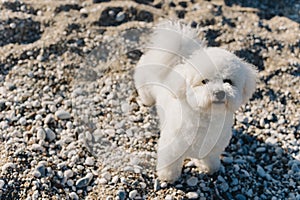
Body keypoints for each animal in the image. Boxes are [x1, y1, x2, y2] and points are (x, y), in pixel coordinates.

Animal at [135, 20, 256, 183]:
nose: (219, 93)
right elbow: (170, 162)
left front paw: (209, 168)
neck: (206, 119)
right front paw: (168, 177)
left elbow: (210, 158)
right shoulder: (171, 146)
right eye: (204, 81)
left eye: (228, 81)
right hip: (144, 82)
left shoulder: (212, 148)